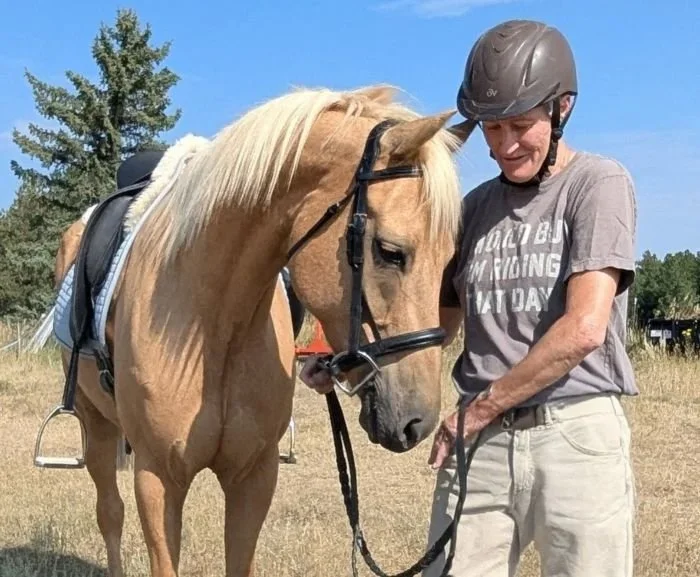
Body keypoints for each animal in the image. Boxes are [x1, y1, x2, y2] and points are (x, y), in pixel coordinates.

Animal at [37, 83, 474, 577]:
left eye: (450, 260)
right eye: (390, 252)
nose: (418, 421)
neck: (212, 326)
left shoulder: (254, 478)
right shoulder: (157, 479)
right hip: (94, 422)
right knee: (109, 513)